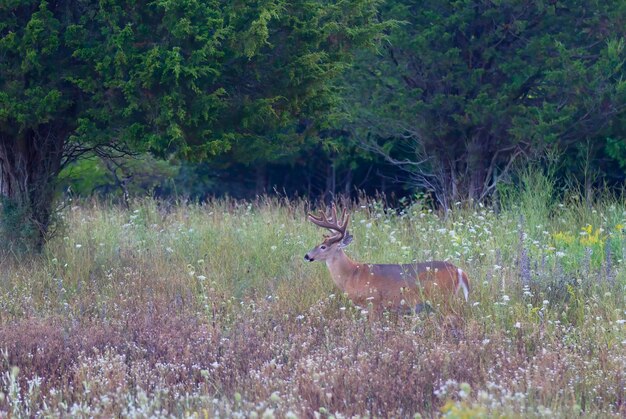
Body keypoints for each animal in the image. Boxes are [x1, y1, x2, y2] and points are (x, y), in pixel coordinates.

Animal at [302, 205, 468, 314]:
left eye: (323, 246)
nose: (307, 256)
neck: (352, 274)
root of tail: (458, 270)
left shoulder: (373, 303)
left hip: (442, 298)